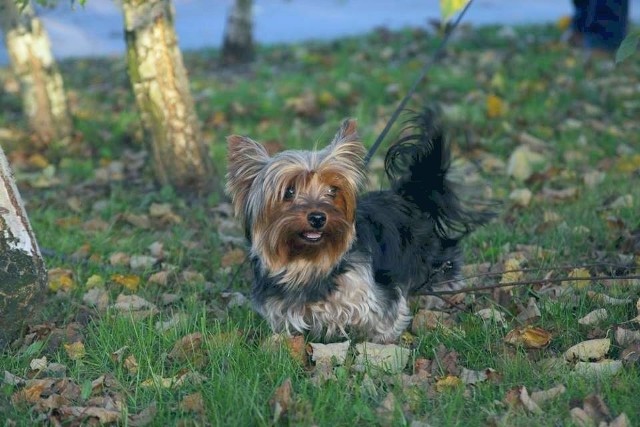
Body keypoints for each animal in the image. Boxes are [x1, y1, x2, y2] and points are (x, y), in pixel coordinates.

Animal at [226, 109, 490, 344]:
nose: (318, 218)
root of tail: (410, 195)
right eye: (289, 191)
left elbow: (384, 319)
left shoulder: (376, 295)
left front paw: (381, 343)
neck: (309, 264)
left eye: (333, 190)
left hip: (429, 257)